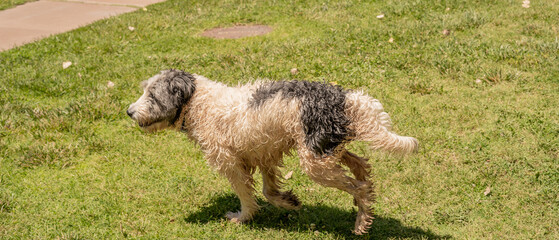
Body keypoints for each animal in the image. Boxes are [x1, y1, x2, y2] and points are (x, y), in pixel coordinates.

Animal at [126, 69, 416, 234]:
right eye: (145, 91)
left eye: (153, 96)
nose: (129, 111)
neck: (198, 102)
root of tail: (345, 98)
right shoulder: (264, 153)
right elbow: (269, 191)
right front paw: (288, 201)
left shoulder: (231, 164)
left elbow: (246, 195)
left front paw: (243, 218)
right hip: (325, 148)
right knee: (361, 165)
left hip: (316, 162)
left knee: (359, 186)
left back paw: (362, 221)